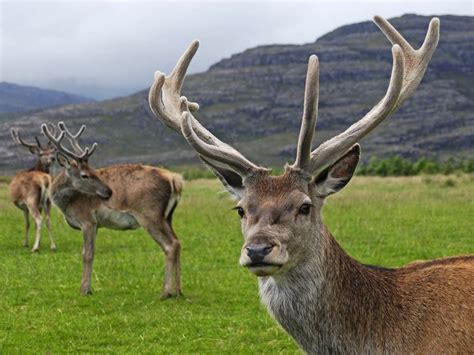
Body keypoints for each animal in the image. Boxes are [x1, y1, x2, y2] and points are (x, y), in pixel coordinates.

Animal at [40, 123, 183, 298]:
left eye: (94, 171)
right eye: (85, 175)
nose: (108, 192)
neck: (67, 204)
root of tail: (175, 180)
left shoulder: (87, 220)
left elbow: (88, 254)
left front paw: (85, 290)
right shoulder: (94, 225)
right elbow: (85, 252)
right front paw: (86, 288)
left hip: (150, 215)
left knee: (170, 245)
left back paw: (166, 292)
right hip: (167, 217)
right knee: (177, 242)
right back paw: (178, 291)